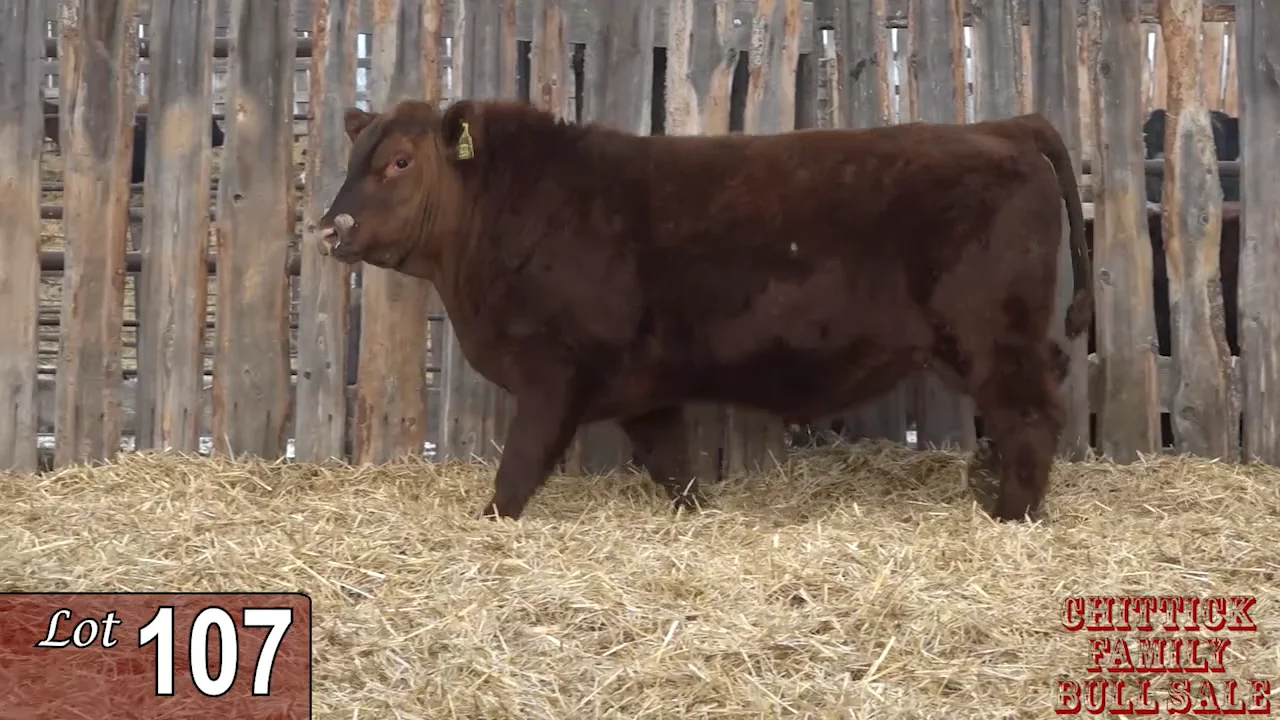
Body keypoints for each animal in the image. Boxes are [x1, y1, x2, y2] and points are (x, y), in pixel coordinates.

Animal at [314, 99, 1093, 524]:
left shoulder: (552, 375)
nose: (330, 228)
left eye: (401, 162)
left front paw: (489, 523)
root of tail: (1007, 125)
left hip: (992, 336)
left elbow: (519, 469)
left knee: (1034, 417)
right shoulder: (642, 387)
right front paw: (696, 513)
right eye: (355, 157)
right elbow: (672, 465)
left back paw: (1010, 516)